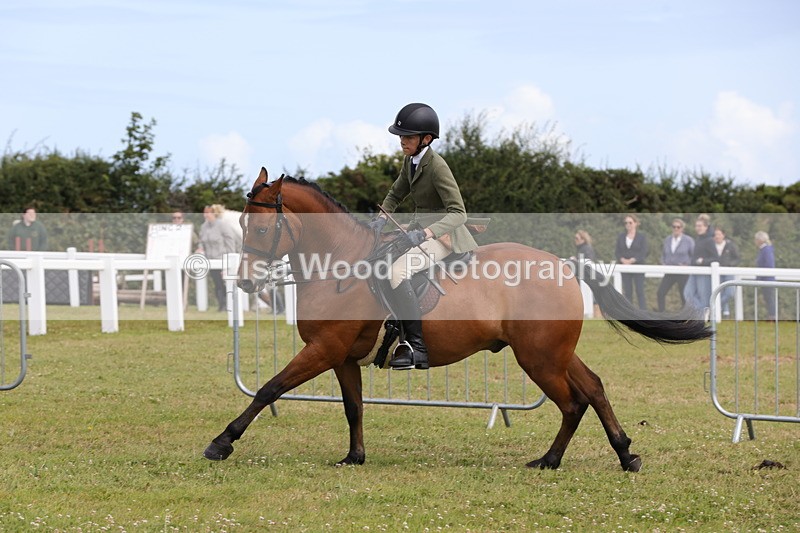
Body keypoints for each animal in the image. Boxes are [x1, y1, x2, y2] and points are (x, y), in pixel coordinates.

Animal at [203, 168, 711, 471]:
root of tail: (563, 265)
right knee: (594, 389)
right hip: (554, 352)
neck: (340, 264)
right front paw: (355, 457)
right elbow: (353, 407)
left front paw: (222, 443)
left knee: (572, 403)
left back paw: (550, 460)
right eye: (242, 226)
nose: (245, 282)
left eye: (262, 227)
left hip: (539, 357)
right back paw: (625, 455)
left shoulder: (322, 350)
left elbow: (269, 388)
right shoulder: (342, 357)